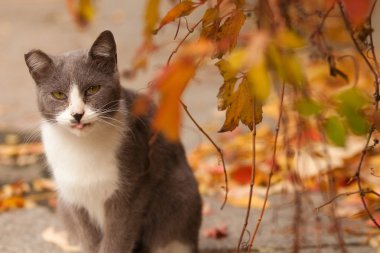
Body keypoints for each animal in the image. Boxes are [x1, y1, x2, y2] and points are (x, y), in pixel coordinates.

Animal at [24, 30, 202, 253]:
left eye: (93, 89)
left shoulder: (130, 190)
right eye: (58, 94)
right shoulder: (73, 197)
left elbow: (117, 239)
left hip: (179, 198)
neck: (82, 148)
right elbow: (89, 240)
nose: (77, 114)